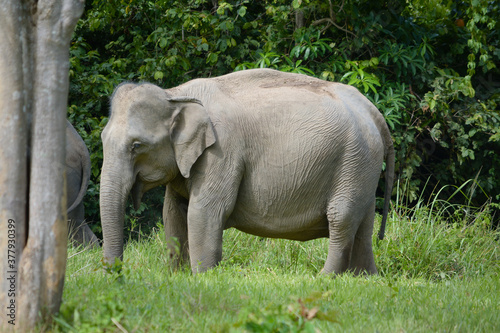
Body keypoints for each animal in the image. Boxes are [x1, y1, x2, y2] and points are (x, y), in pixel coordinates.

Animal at [100, 68, 394, 274]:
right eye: (102, 138)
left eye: (137, 146)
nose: (116, 276)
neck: (175, 94)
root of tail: (373, 111)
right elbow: (172, 212)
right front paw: (176, 276)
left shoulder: (222, 152)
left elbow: (204, 211)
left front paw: (203, 279)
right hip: (362, 167)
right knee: (363, 225)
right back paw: (364, 278)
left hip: (354, 160)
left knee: (341, 218)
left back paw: (325, 278)